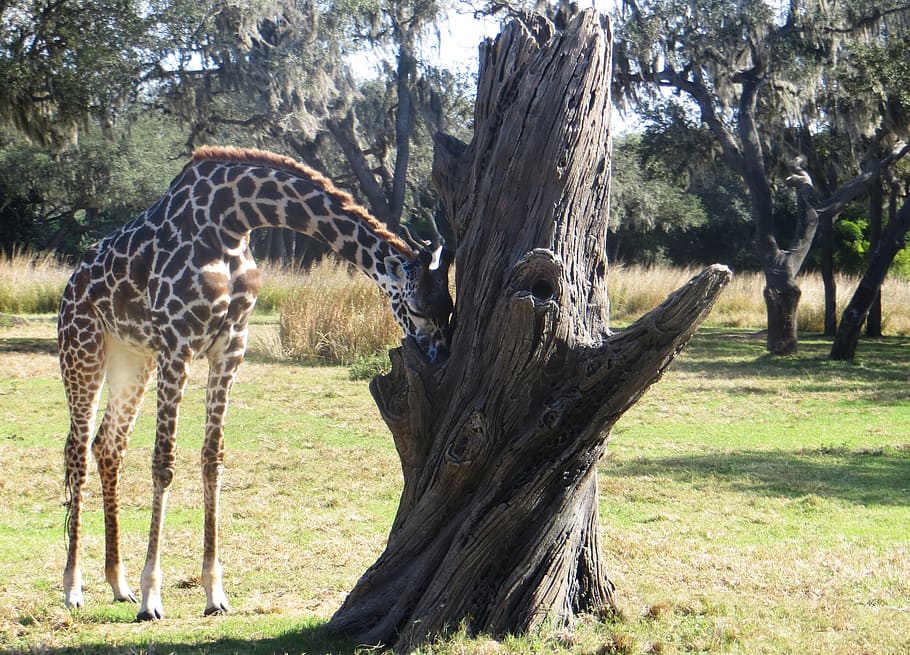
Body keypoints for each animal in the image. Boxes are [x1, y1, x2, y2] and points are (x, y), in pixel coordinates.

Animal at [58, 146, 454, 621]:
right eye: (417, 307)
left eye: (450, 307)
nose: (440, 356)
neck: (231, 220)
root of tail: (69, 286)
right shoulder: (178, 342)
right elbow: (164, 462)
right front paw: (153, 597)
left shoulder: (231, 346)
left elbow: (213, 458)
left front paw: (214, 593)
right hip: (83, 349)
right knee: (77, 451)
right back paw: (73, 589)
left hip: (133, 360)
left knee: (107, 446)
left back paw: (118, 585)